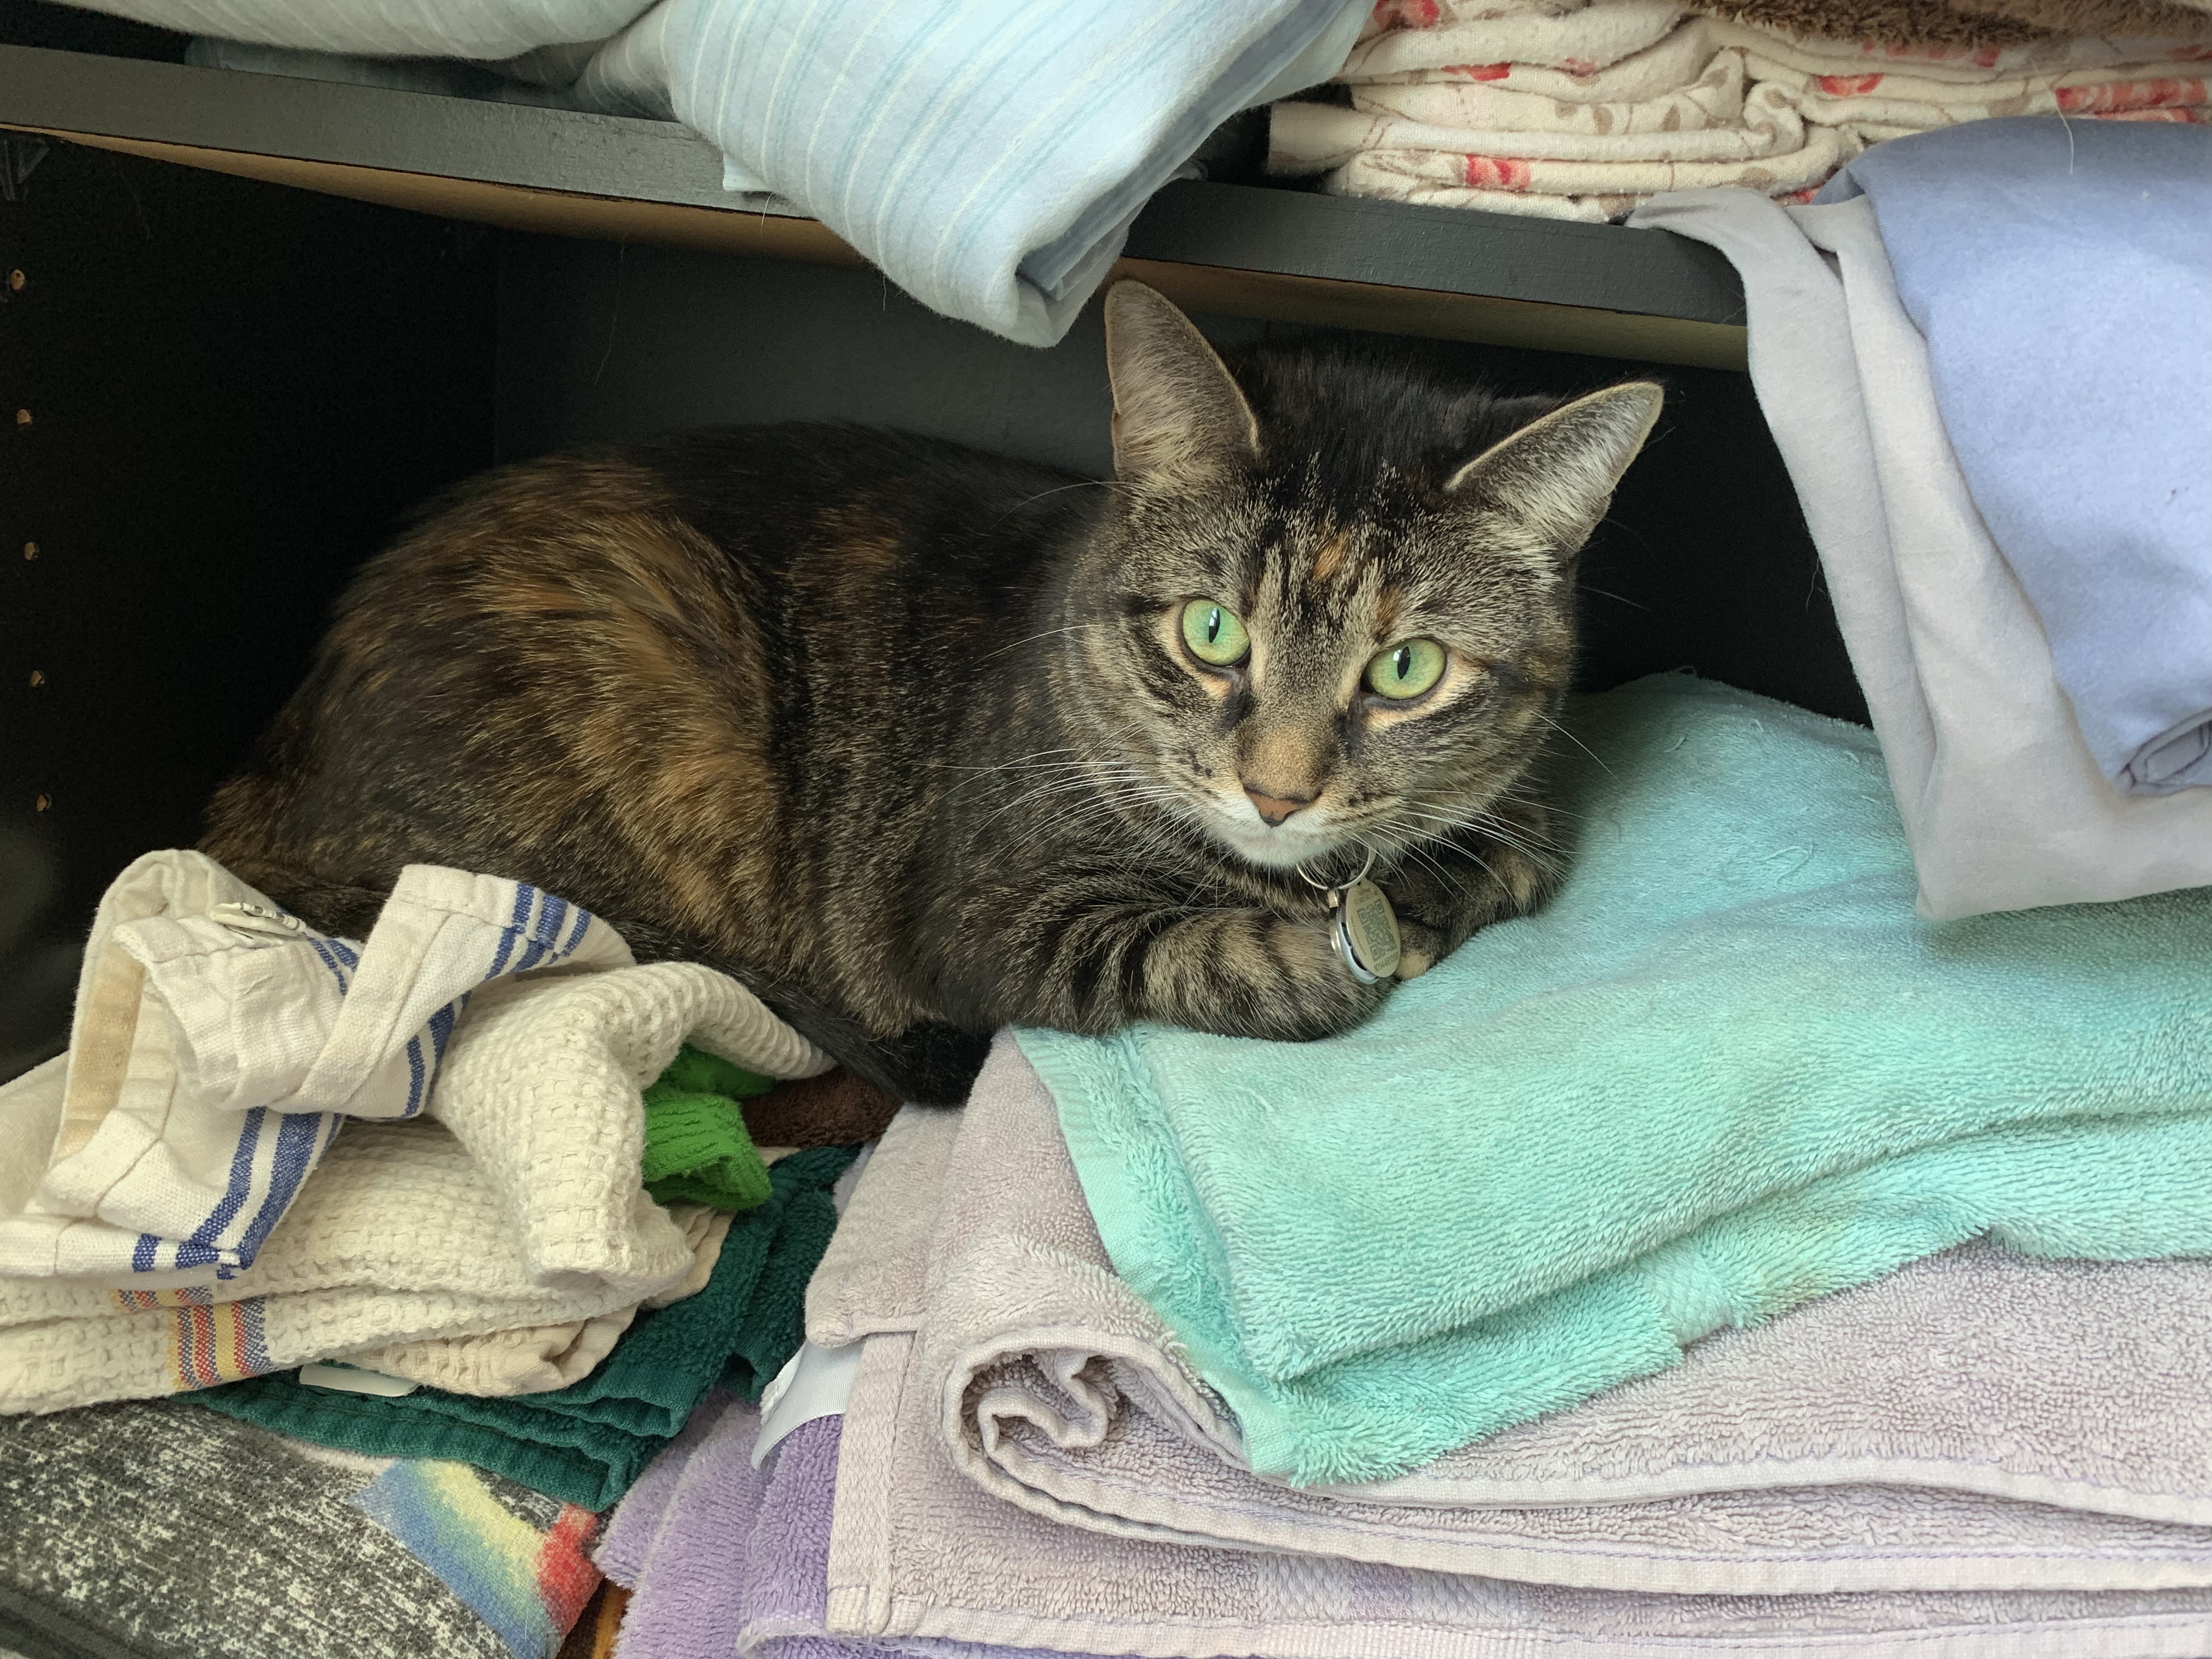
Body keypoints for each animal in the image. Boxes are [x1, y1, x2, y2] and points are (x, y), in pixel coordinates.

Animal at [198, 282, 1662, 1106]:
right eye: (1211, 632)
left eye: (1405, 670)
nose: (1279, 792)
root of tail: (264, 782)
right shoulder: (975, 921)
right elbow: (1202, 954)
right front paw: (1331, 951)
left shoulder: (1514, 816)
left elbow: (1509, 852)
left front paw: (1428, 887)